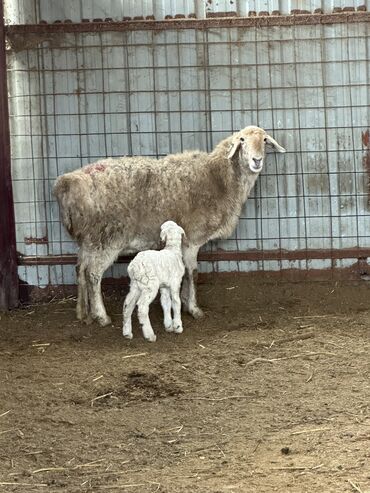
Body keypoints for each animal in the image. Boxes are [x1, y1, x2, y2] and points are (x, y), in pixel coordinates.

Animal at [54, 126, 286, 326]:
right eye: (242, 140)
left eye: (265, 140)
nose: (257, 160)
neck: (218, 178)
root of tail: (67, 183)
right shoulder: (192, 238)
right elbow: (192, 273)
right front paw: (194, 309)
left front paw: (183, 302)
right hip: (107, 238)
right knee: (93, 274)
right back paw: (101, 316)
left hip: (89, 239)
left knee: (80, 269)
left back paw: (83, 313)